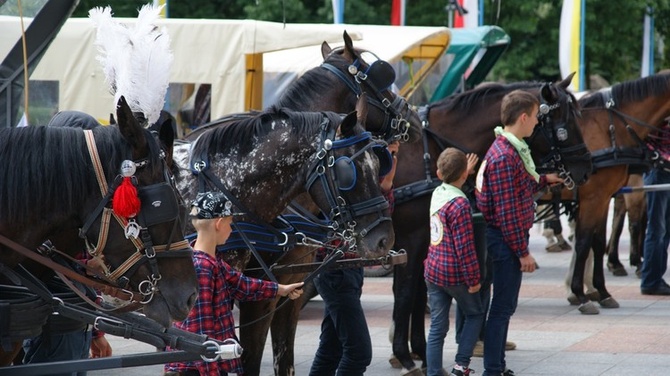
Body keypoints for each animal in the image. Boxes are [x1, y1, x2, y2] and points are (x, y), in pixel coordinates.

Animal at [392, 77, 592, 374]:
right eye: (564, 126)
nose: (587, 168)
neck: (426, 154)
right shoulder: (411, 240)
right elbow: (406, 294)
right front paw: (404, 356)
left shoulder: (427, 241)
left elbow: (421, 293)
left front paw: (420, 350)